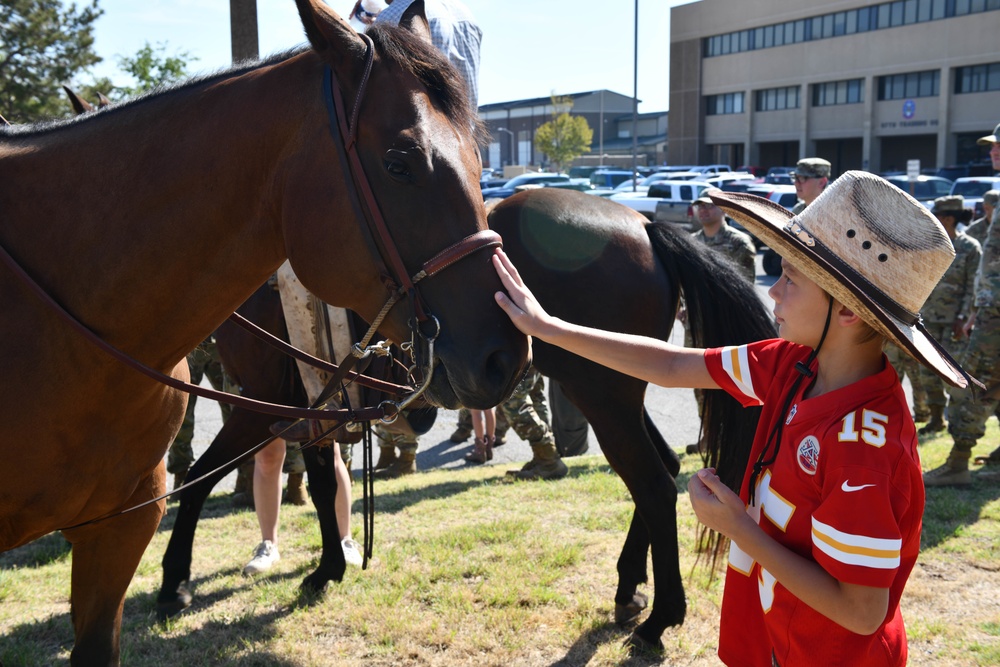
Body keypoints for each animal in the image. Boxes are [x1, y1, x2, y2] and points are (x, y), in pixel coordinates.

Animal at [0, 2, 528, 664]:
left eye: (480, 160)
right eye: (398, 163)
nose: (503, 354)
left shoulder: (273, 404)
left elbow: (242, 473)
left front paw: (306, 569)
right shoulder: (276, 403)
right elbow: (253, 472)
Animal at [162, 188, 772, 652]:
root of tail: (645, 224)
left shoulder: (263, 404)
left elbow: (196, 483)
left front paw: (175, 578)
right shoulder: (309, 407)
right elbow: (318, 484)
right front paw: (329, 567)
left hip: (602, 393)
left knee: (652, 484)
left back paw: (659, 618)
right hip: (617, 391)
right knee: (661, 467)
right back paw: (629, 589)